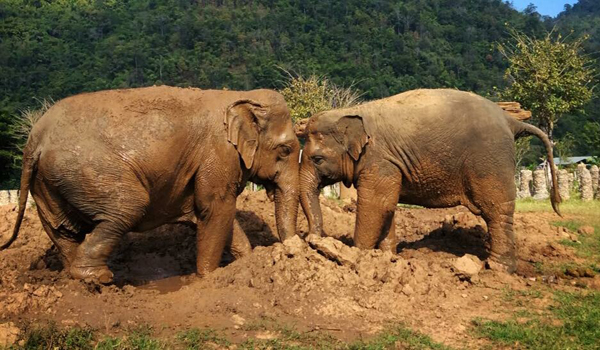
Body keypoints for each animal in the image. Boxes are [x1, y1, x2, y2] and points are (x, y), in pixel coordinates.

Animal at [0, 85, 300, 284]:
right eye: (285, 150)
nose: (292, 250)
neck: (238, 96)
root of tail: (34, 139)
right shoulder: (218, 152)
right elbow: (214, 208)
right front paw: (207, 278)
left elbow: (220, 215)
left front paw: (244, 262)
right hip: (84, 170)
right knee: (128, 206)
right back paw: (98, 279)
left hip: (48, 182)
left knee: (62, 229)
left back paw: (73, 279)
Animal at [302, 88, 560, 274]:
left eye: (317, 159)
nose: (311, 241)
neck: (352, 111)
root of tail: (511, 121)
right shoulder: (388, 164)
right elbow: (387, 206)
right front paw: (387, 258)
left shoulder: (379, 159)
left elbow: (376, 205)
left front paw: (357, 257)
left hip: (490, 161)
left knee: (496, 211)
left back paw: (497, 269)